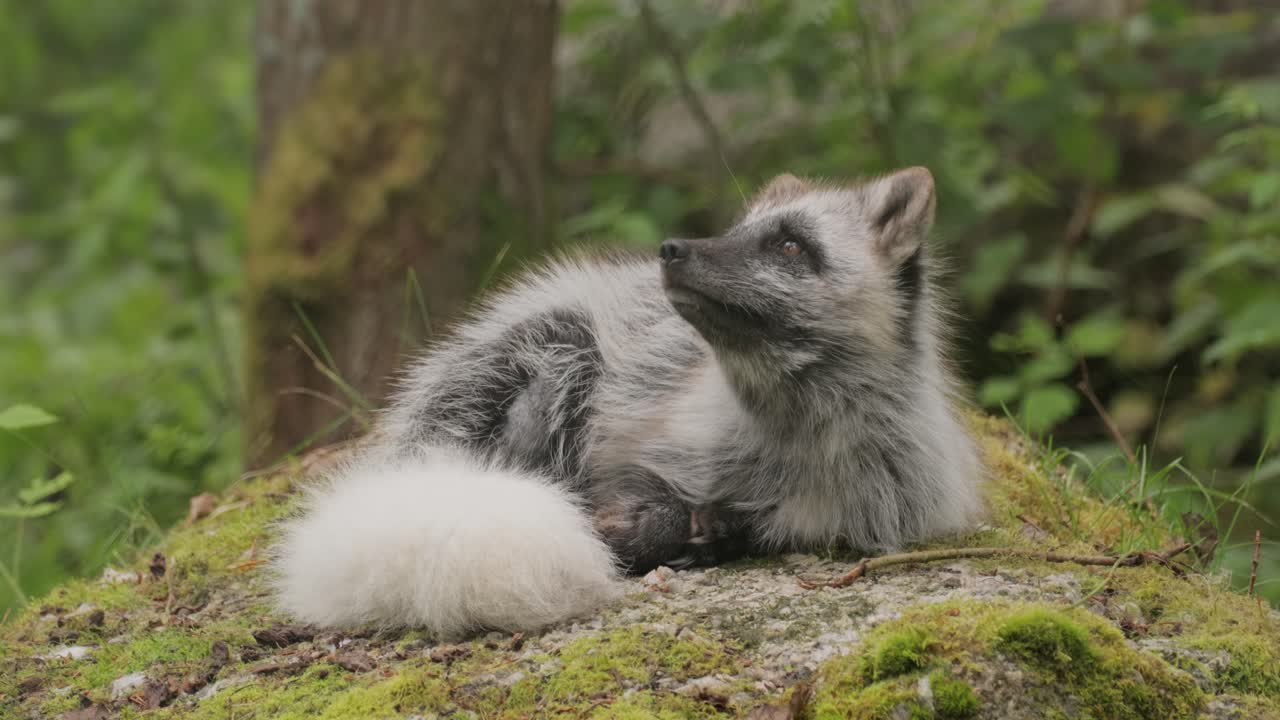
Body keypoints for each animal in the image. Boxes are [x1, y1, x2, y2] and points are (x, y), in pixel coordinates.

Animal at [271, 167, 983, 638]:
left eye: (790, 245)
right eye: (736, 229)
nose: (672, 249)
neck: (790, 451)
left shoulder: (825, 520)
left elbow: (748, 525)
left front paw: (709, 533)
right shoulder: (629, 452)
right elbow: (646, 508)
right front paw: (637, 533)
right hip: (558, 356)